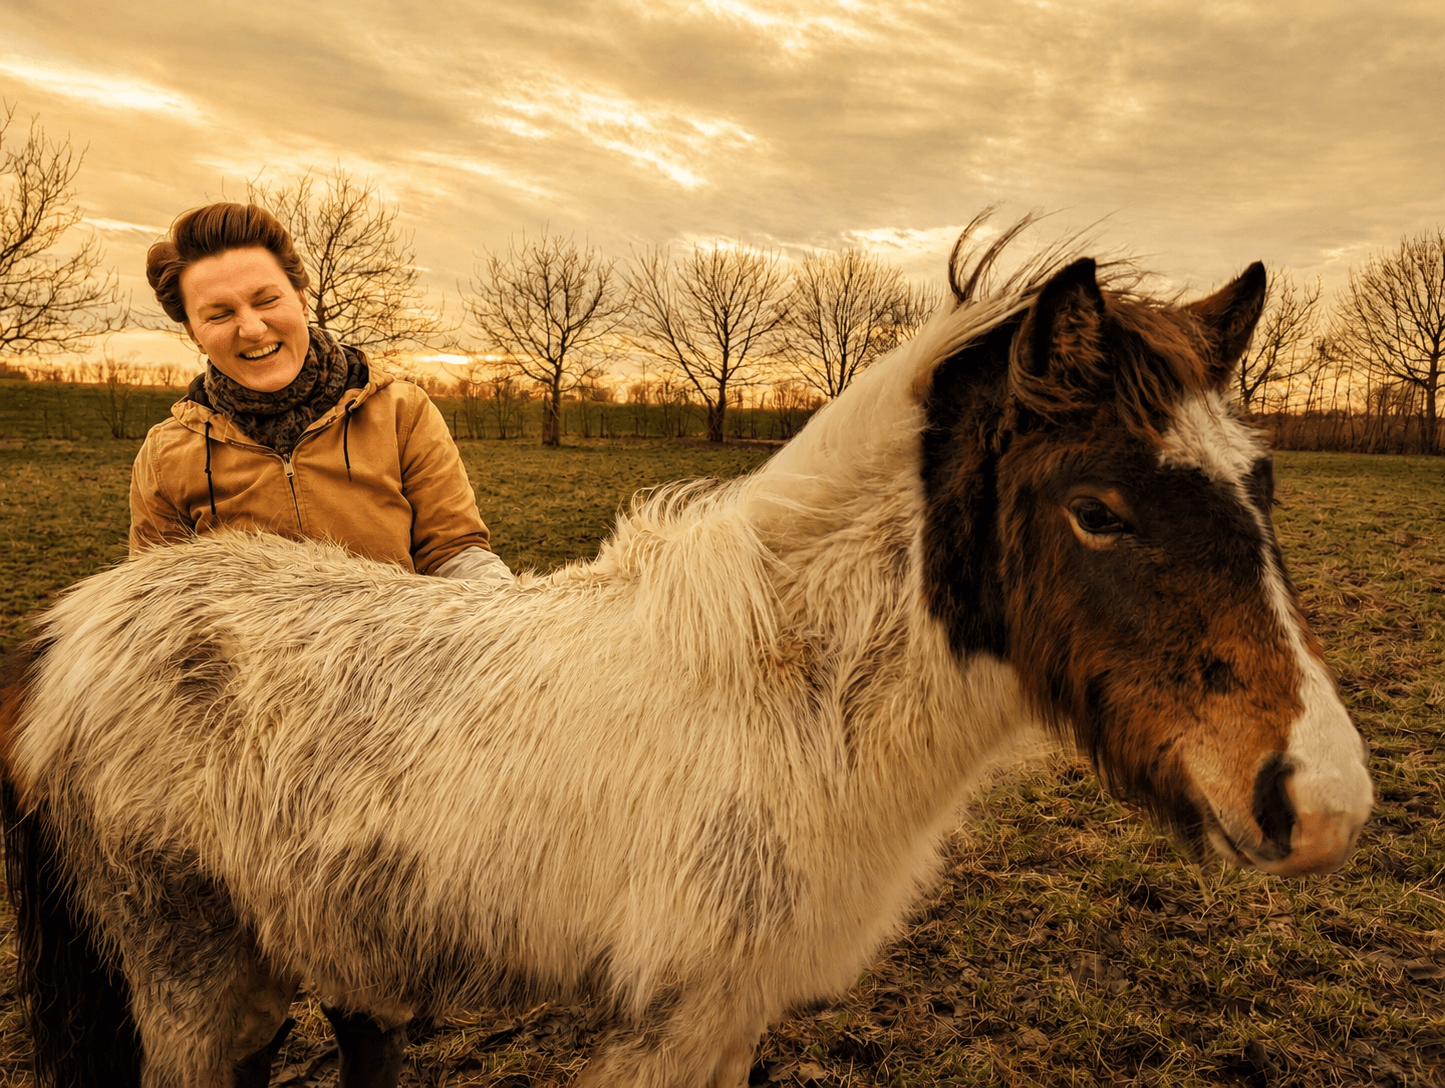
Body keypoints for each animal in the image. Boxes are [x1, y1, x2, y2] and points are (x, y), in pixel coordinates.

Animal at [1, 222, 1373, 1088]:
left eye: (1260, 486)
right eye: (1095, 509)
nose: (1321, 799)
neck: (792, 693)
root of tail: (77, 630)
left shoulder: (732, 1014)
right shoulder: (668, 1021)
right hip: (189, 985)